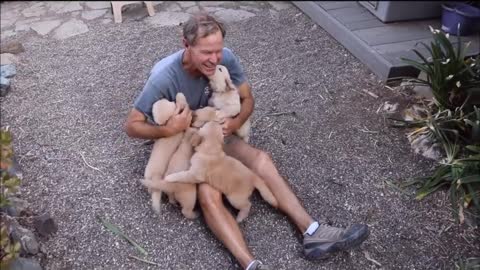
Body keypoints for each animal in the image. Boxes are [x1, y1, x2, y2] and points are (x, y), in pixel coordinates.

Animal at [142, 121, 278, 223]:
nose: (216, 120)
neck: (211, 150)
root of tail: (253, 176)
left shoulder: (194, 174)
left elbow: (182, 175)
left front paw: (170, 177)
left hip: (235, 198)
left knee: (247, 205)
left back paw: (240, 217)